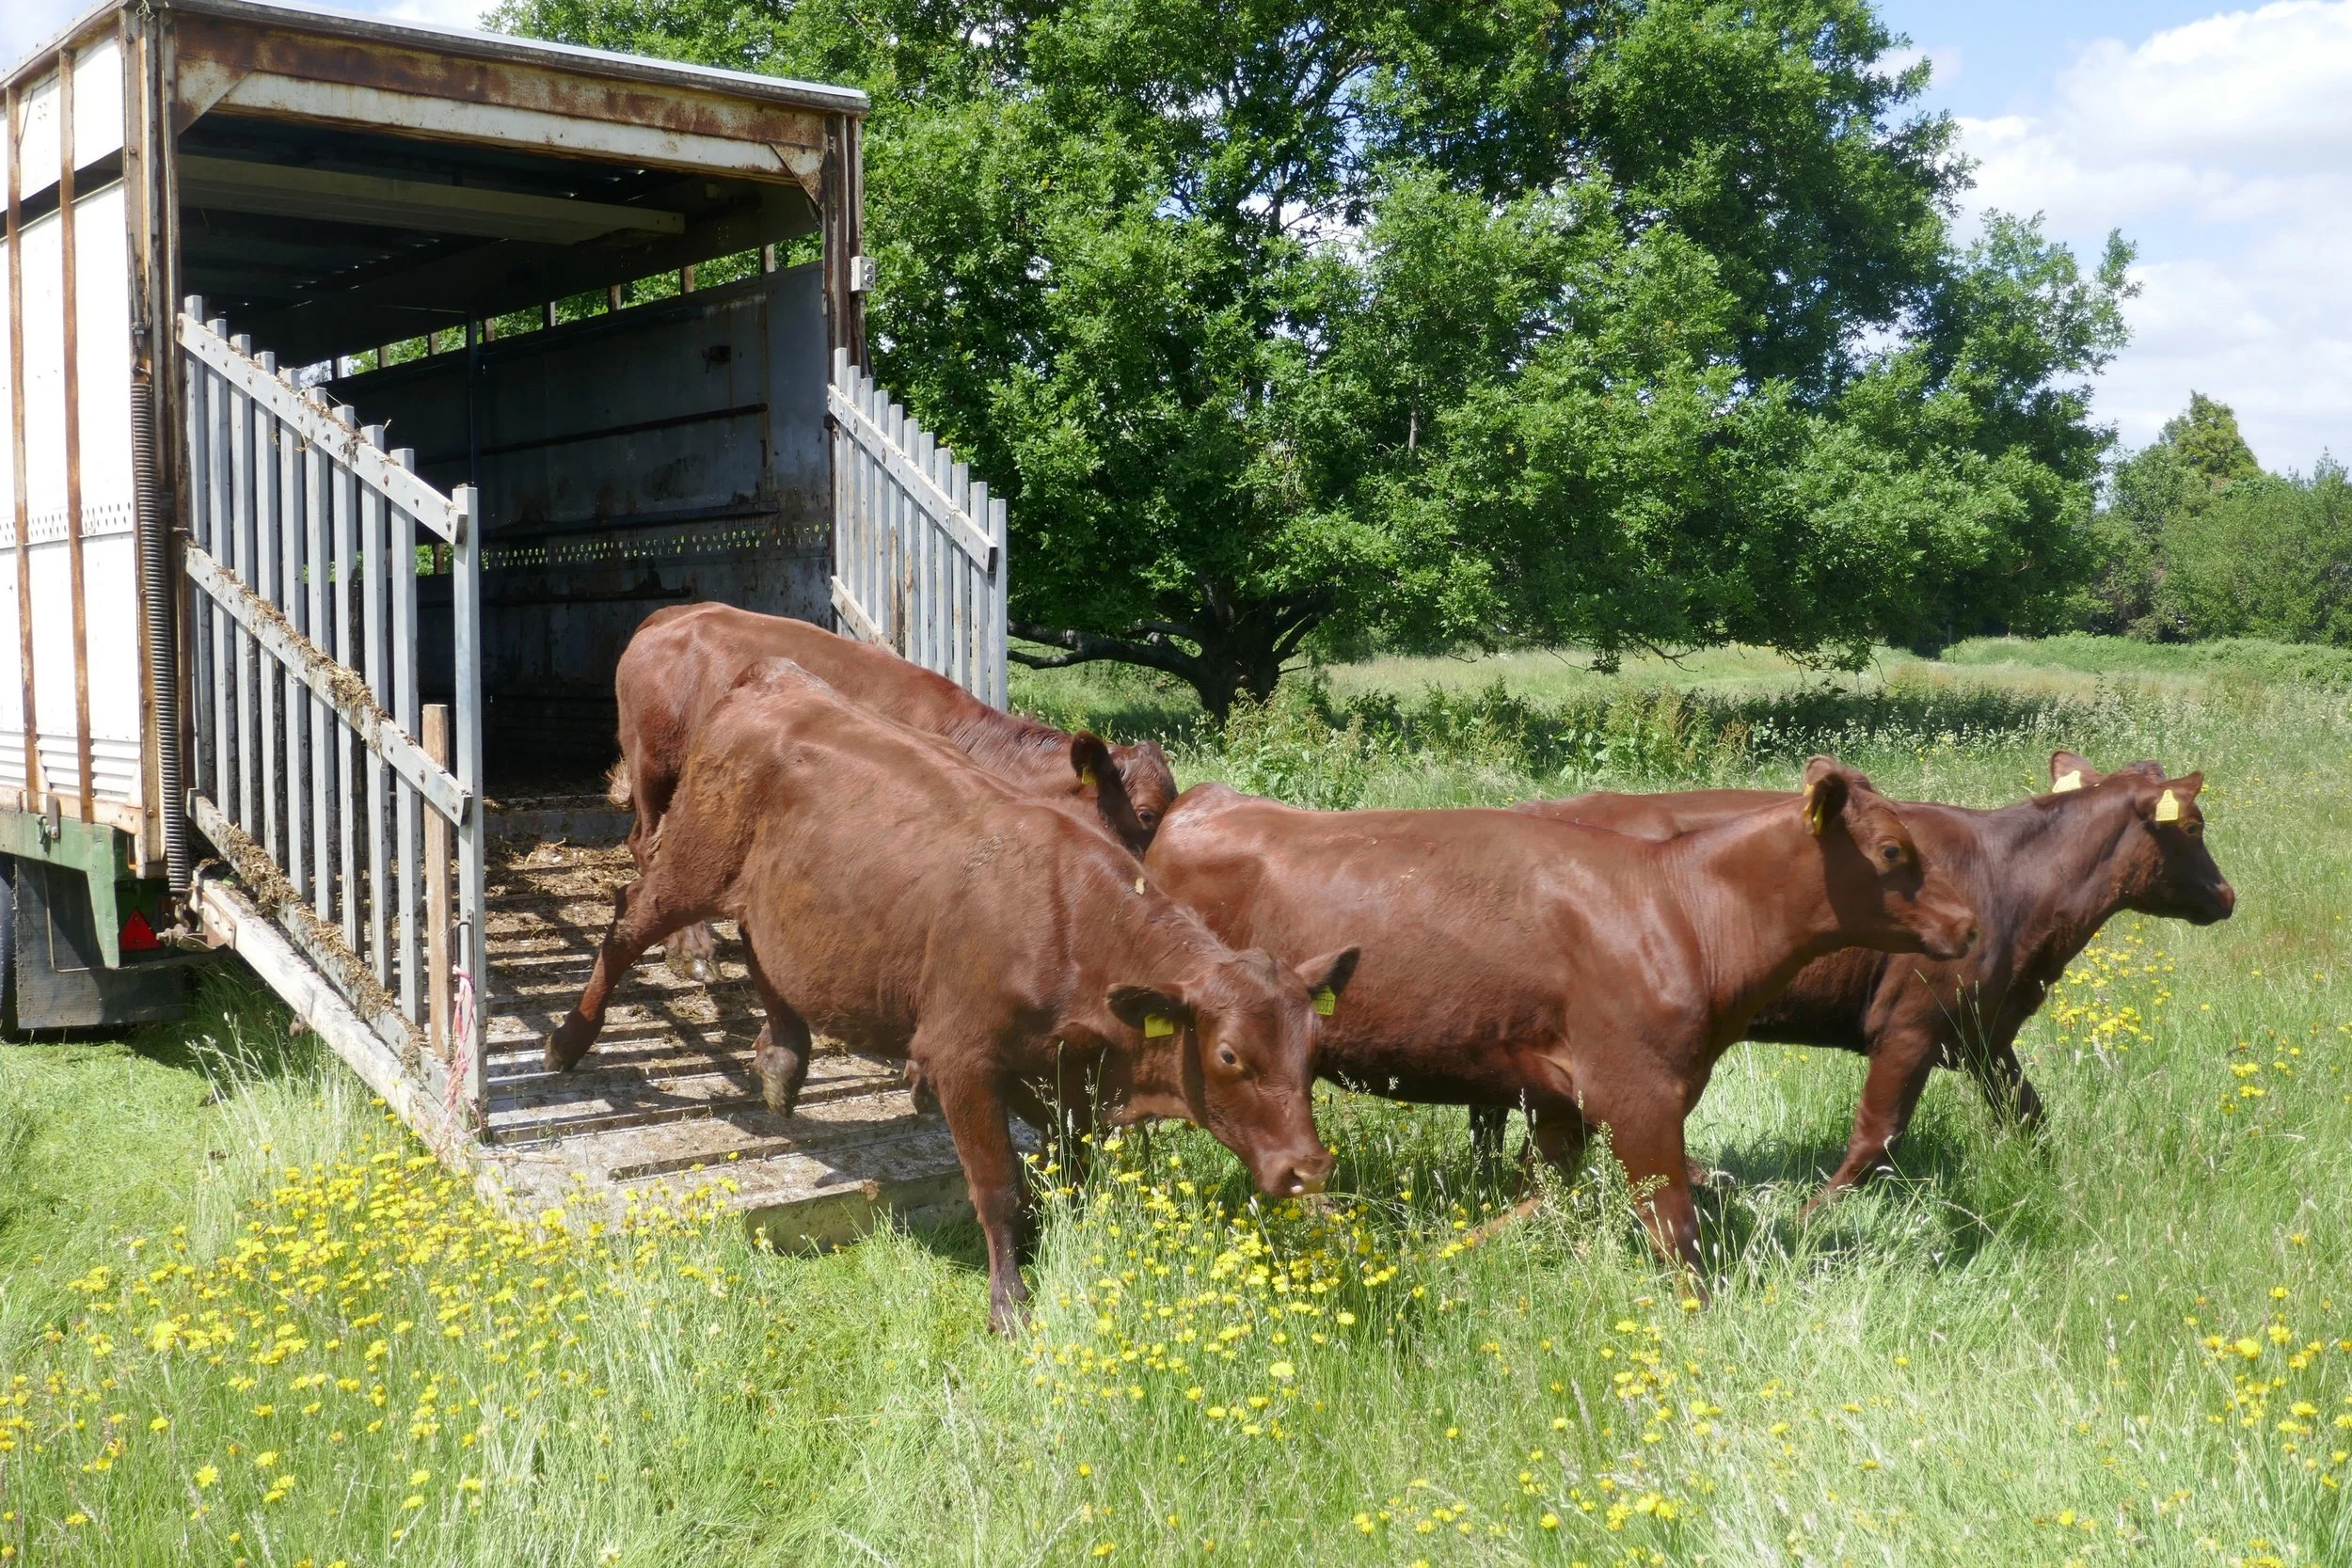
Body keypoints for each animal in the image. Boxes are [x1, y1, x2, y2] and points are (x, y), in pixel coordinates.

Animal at [547, 658, 1354, 1331]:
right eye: (1229, 1054)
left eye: (1315, 1050)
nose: (1310, 1166)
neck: (1070, 922)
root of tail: (773, 676)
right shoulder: (964, 1059)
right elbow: (999, 1185)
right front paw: (1011, 1302)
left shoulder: (1060, 1072)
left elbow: (1072, 1167)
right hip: (690, 864)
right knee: (625, 923)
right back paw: (568, 1039)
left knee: (759, 943)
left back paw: (782, 1060)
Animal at [609, 603, 1180, 981]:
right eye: (1147, 814)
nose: (1150, 893)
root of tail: (672, 614)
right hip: (654, 766)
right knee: (651, 845)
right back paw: (691, 949)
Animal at [1142, 758, 1977, 1291]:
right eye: (1893, 849)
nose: (1969, 922)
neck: (1679, 911)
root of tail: (1202, 801)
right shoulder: (1639, 1095)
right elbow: (1674, 1227)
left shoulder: (1559, 1098)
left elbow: (1544, 1191)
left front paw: (1456, 1252)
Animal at [1505, 751, 2234, 1204]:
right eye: (2194, 825)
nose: (2227, 895)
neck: (2018, 886)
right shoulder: (1911, 1023)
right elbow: (1876, 1134)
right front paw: (1808, 1217)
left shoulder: (1983, 1032)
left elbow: (2027, 1113)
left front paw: (2054, 1181)